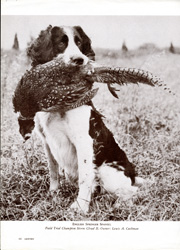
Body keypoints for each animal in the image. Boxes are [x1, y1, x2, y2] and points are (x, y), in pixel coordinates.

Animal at [26, 25, 143, 213]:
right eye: (61, 43)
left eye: (79, 42)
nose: (80, 60)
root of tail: (132, 174)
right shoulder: (46, 141)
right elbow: (53, 170)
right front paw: (52, 196)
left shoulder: (83, 141)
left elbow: (85, 176)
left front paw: (80, 206)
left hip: (107, 171)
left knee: (131, 191)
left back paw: (118, 203)